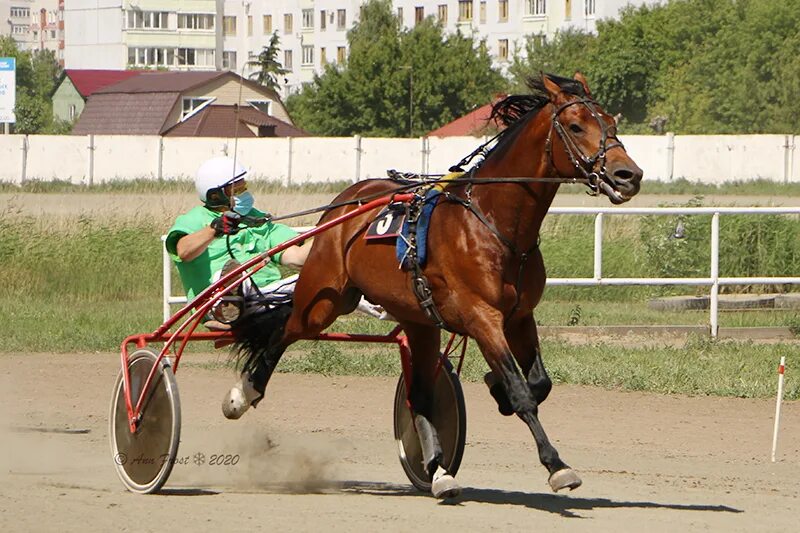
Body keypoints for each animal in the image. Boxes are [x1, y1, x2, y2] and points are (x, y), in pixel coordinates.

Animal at [238, 72, 644, 496]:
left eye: (611, 124)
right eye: (576, 126)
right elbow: (522, 393)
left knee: (419, 393)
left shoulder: (520, 317)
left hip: (418, 320)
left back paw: (437, 470)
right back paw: (242, 394)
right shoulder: (482, 317)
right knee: (284, 330)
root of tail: (349, 198)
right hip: (325, 300)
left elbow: (539, 383)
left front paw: (495, 390)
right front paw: (556, 464)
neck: (493, 223)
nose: (628, 175)